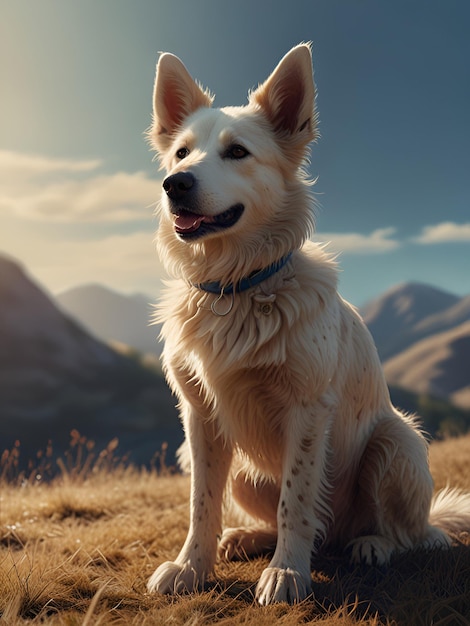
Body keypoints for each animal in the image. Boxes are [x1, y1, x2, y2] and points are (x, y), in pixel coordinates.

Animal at [147, 45, 470, 604]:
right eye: (182, 154)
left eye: (238, 153)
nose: (175, 184)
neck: (238, 287)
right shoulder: (200, 419)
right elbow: (201, 504)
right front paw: (191, 567)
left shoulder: (306, 408)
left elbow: (296, 501)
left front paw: (287, 573)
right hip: (237, 468)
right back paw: (247, 537)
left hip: (397, 442)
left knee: (406, 534)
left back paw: (373, 545)